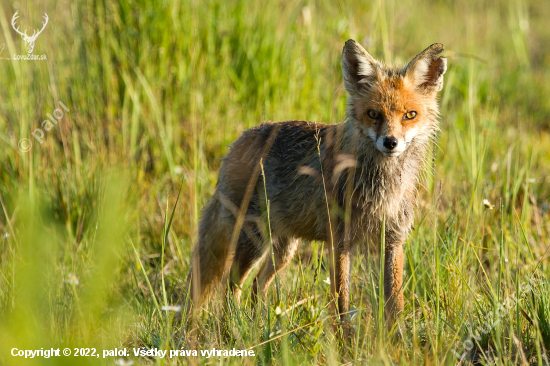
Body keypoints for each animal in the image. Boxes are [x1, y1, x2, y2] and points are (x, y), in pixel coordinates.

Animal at [188, 39, 446, 328]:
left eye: (410, 115)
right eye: (373, 114)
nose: (390, 142)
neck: (381, 188)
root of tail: (240, 140)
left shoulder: (393, 241)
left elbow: (395, 305)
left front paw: (396, 338)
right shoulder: (339, 241)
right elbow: (342, 304)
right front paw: (346, 339)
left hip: (283, 250)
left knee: (256, 287)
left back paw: (258, 327)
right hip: (255, 241)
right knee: (231, 286)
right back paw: (233, 328)